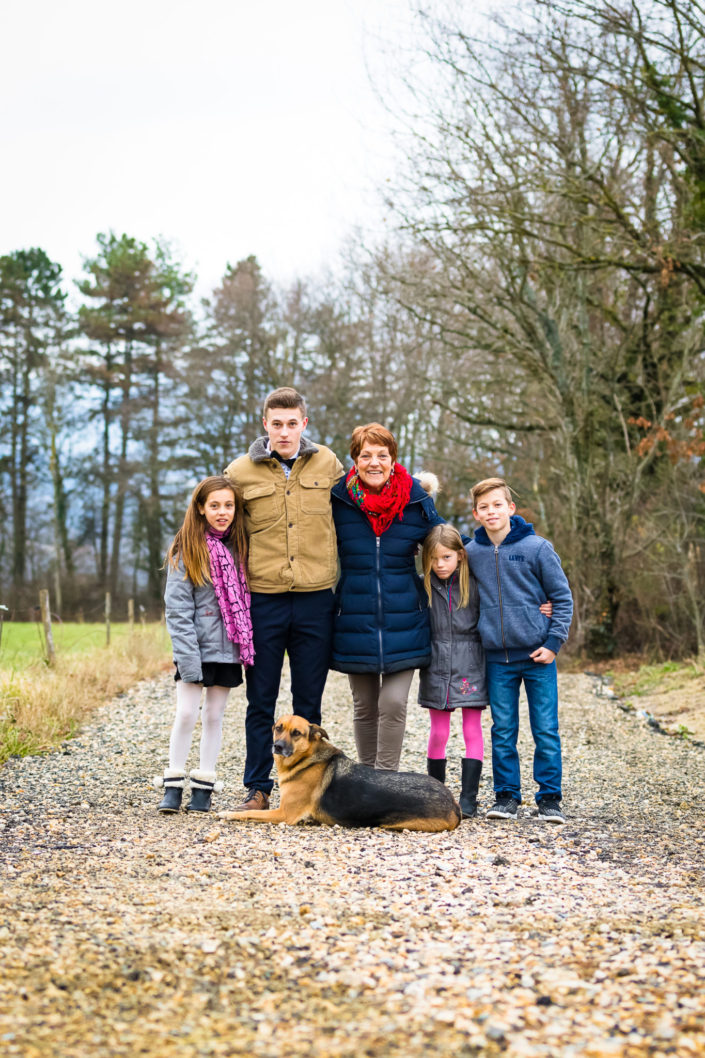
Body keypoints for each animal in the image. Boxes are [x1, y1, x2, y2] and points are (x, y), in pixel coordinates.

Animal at [220, 715, 461, 829]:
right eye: (278, 728)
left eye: (296, 733)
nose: (277, 746)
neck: (306, 759)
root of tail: (453, 803)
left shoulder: (284, 814)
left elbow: (249, 813)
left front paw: (227, 813)